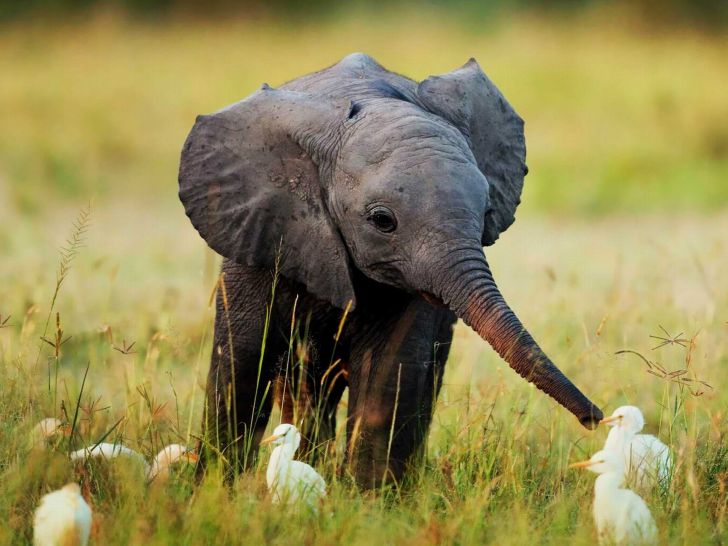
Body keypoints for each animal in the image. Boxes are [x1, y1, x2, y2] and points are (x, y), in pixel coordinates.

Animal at [178, 52, 604, 484]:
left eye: (486, 213)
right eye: (383, 221)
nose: (595, 418)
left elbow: (389, 370)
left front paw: (370, 497)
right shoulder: (260, 232)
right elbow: (243, 362)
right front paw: (214, 488)